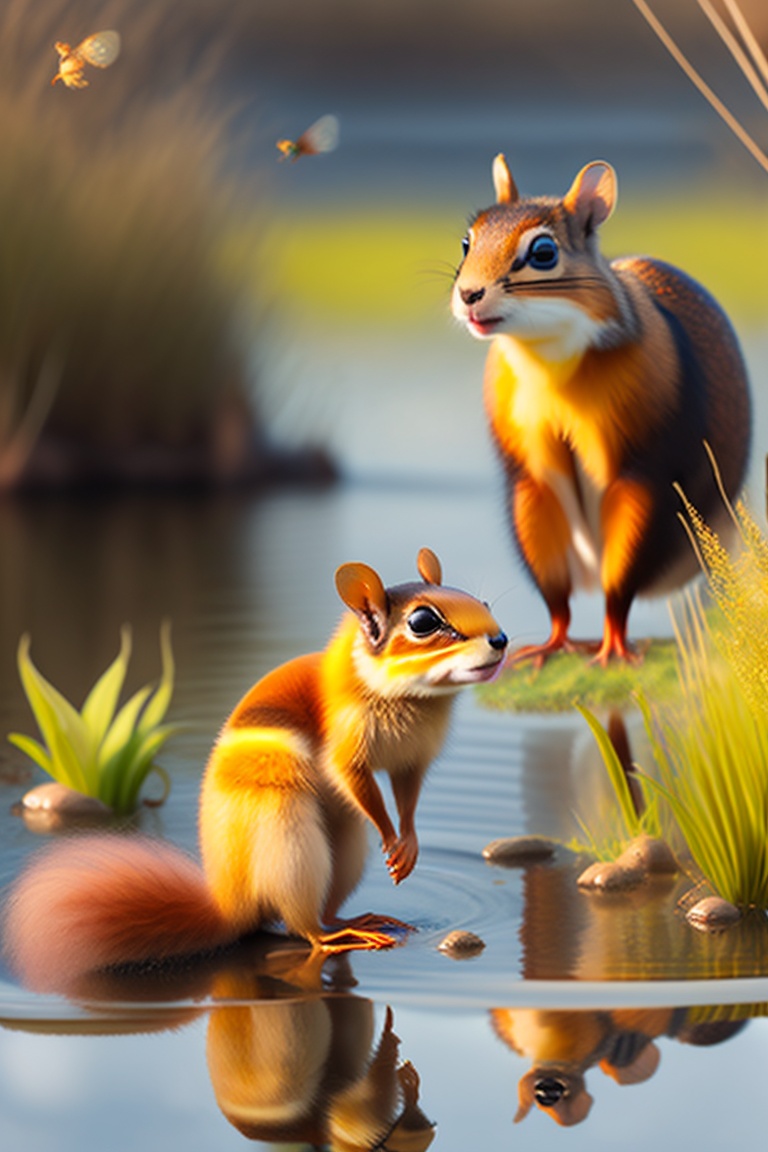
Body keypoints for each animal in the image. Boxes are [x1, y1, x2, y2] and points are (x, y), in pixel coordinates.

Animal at [3, 548, 507, 991]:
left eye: (483, 603)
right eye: (423, 622)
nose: (501, 641)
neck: (412, 698)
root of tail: (231, 903)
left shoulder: (412, 758)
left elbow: (407, 792)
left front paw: (408, 844)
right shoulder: (347, 746)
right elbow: (357, 784)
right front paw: (391, 839)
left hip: (342, 847)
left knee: (321, 908)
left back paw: (358, 919)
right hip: (291, 846)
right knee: (301, 929)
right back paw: (338, 936)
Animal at [452, 155, 751, 663]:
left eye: (544, 252)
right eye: (467, 240)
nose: (469, 294)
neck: (547, 357)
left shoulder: (642, 473)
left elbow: (622, 574)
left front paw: (614, 646)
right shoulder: (529, 480)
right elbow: (552, 584)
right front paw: (552, 643)